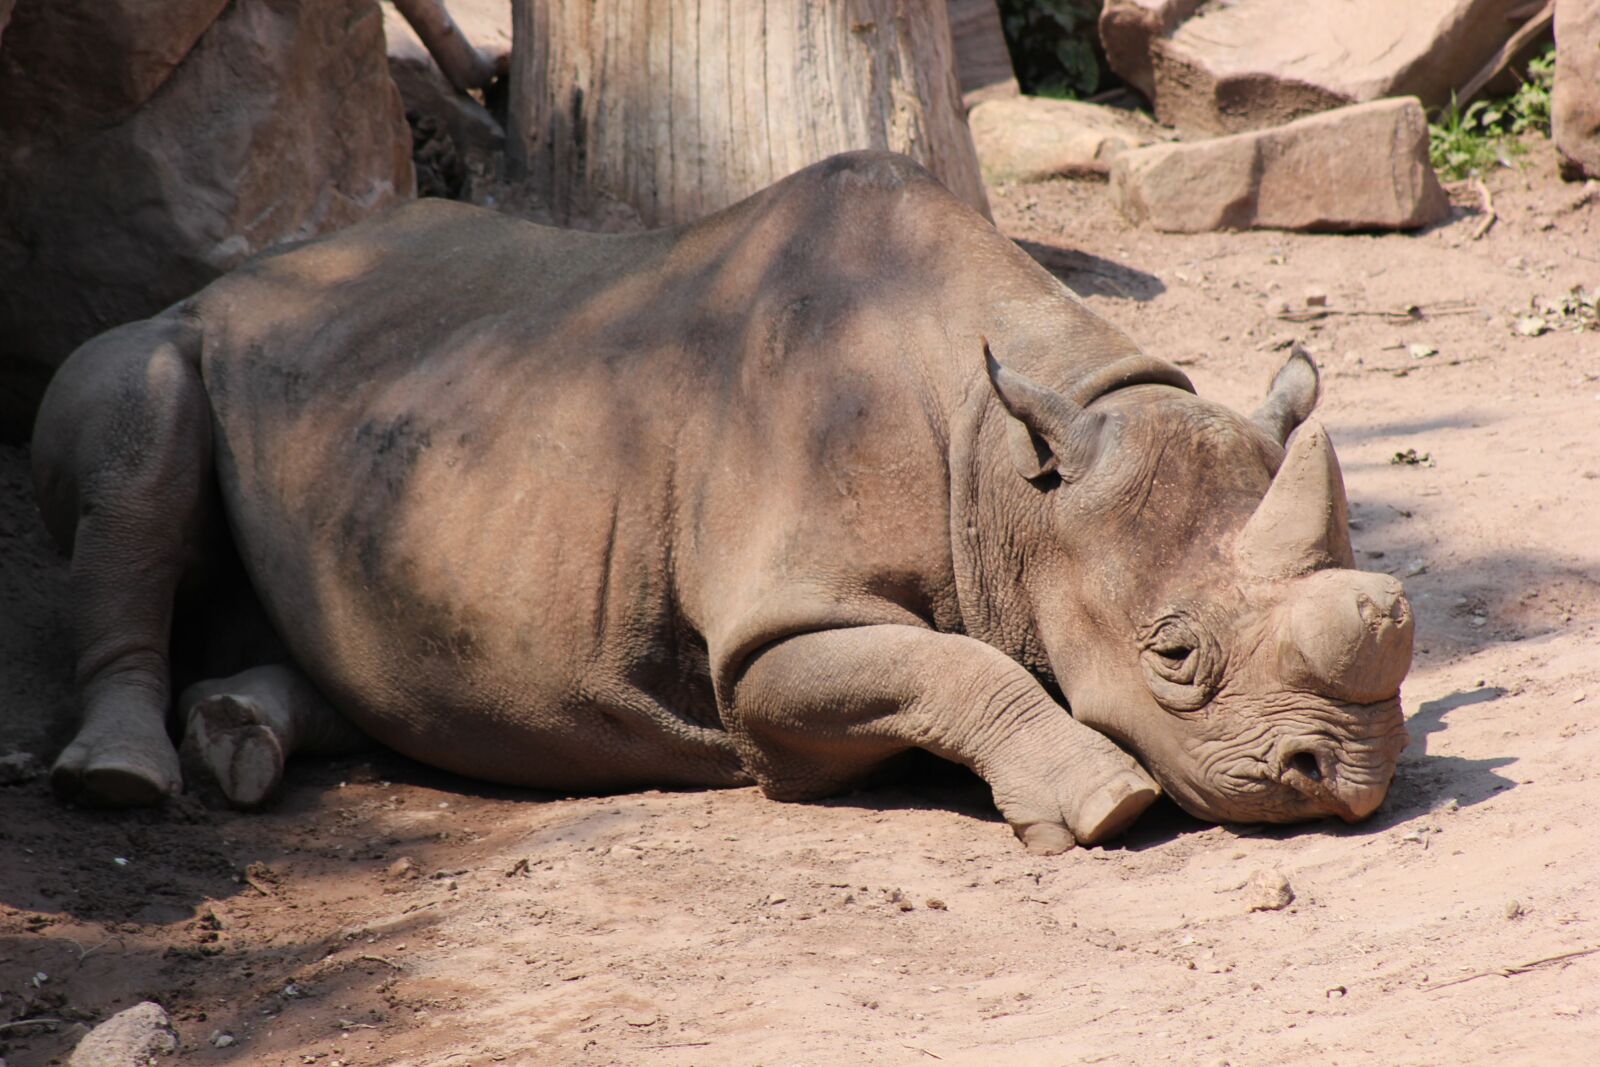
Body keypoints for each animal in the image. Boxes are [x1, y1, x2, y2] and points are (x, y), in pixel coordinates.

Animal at [31, 152, 1412, 852]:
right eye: (1173, 656)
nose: (1344, 781)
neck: (1023, 474)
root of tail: (240, 275)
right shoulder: (766, 639)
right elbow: (957, 665)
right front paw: (1104, 803)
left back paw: (235, 737)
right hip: (165, 337)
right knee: (137, 439)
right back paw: (122, 781)